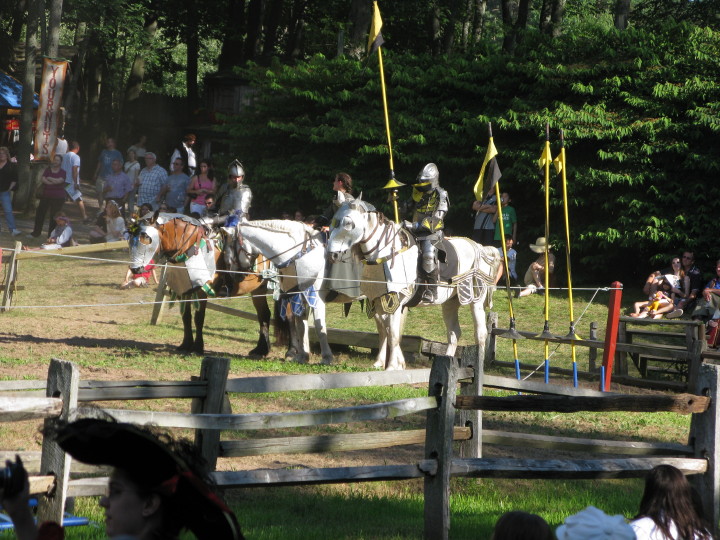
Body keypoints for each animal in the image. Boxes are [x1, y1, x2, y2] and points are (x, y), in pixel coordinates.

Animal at [128, 213, 274, 356]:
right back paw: (261, 349)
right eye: (130, 239)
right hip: (258, 289)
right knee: (264, 314)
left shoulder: (201, 291)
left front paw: (198, 347)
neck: (189, 248)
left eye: (147, 238)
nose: (135, 269)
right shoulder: (184, 291)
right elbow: (186, 317)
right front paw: (186, 345)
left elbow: (198, 318)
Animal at [228, 218, 334, 362]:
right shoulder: (299, 295)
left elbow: (319, 325)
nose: (234, 275)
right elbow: (302, 325)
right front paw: (302, 357)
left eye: (231, 247)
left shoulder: (316, 297)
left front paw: (327, 358)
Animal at [326, 194, 500, 372]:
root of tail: (479, 247)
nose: (331, 255)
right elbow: (385, 331)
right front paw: (382, 363)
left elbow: (393, 334)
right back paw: (447, 362)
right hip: (450, 302)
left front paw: (392, 366)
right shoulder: (379, 301)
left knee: (480, 334)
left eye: (348, 223)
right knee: (454, 333)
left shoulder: (395, 303)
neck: (387, 254)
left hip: (476, 300)